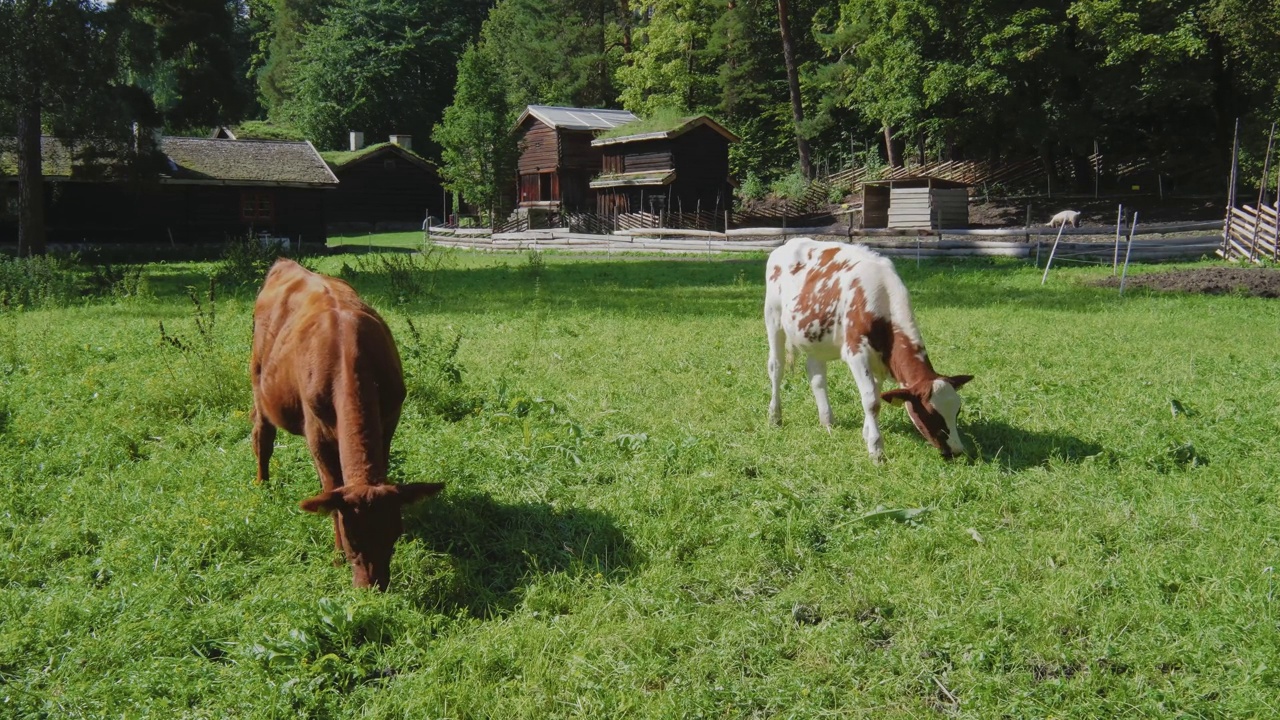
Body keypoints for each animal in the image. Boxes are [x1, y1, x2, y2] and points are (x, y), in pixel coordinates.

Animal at [249, 258, 445, 589]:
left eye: (394, 535)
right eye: (352, 539)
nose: (373, 587)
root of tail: (287, 264)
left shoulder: (389, 422)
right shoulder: (316, 434)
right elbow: (332, 485)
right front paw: (337, 556)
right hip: (258, 380)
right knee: (263, 436)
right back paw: (263, 485)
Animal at [757, 237, 967, 458]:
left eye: (957, 411)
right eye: (932, 414)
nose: (957, 450)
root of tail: (789, 243)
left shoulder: (879, 359)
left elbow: (874, 392)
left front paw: (867, 433)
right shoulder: (856, 353)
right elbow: (871, 400)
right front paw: (876, 448)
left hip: (814, 336)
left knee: (816, 375)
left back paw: (827, 420)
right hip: (773, 318)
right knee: (776, 367)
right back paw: (775, 416)